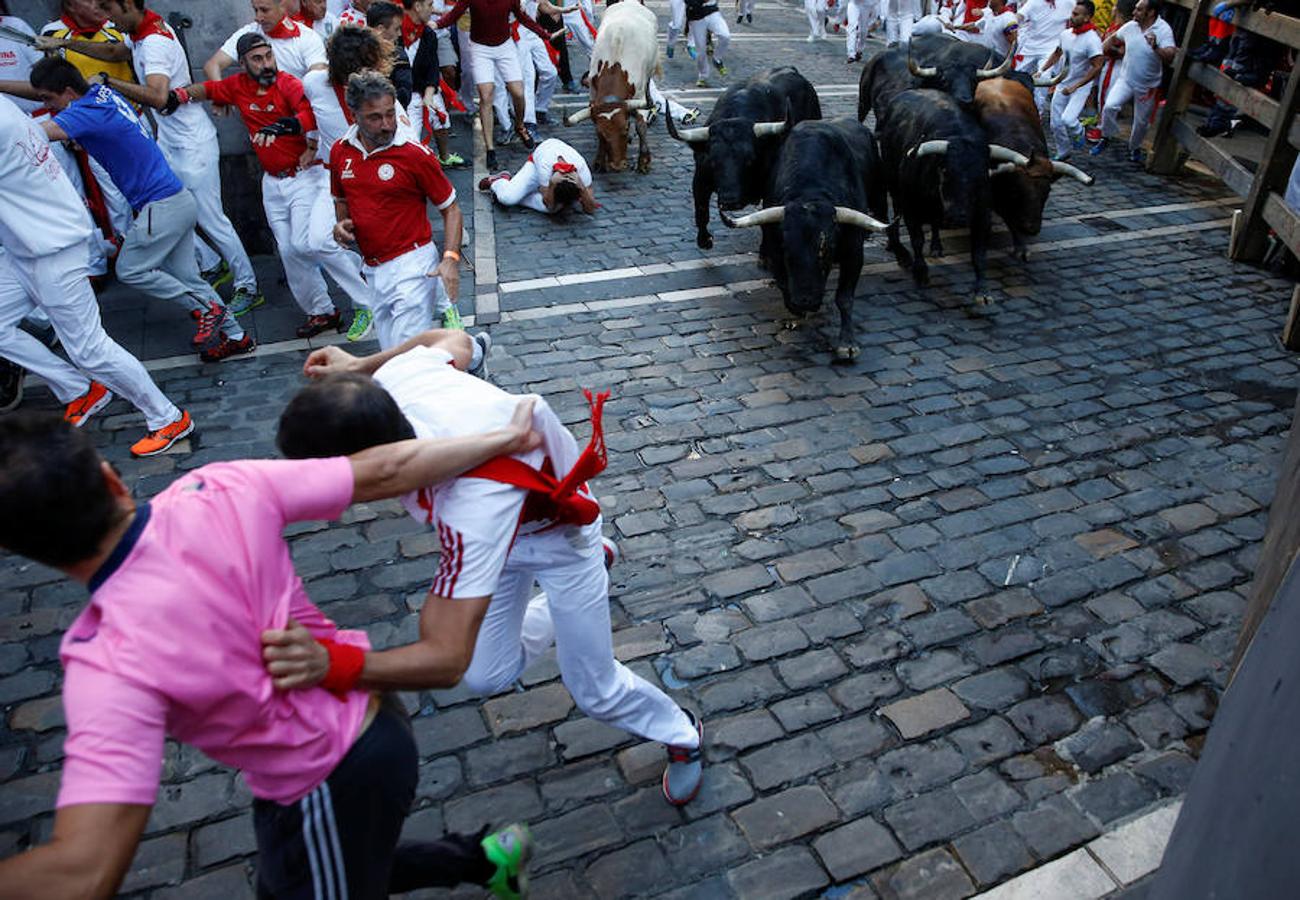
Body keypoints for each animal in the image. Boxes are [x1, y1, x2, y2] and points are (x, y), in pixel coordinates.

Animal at [564, 0, 660, 174]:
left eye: (625, 128)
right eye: (602, 134)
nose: (617, 165)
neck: (615, 64)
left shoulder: (641, 96)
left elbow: (641, 126)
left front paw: (644, 161)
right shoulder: (593, 94)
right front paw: (600, 160)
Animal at [670, 67, 821, 251]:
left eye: (749, 159)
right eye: (713, 161)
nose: (730, 200)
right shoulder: (700, 178)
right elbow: (701, 210)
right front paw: (704, 240)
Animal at [717, 119, 889, 366]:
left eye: (828, 250)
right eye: (787, 250)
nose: (806, 301)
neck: (810, 190)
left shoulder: (854, 252)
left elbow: (845, 298)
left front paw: (847, 344)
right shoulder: (774, 250)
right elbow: (783, 283)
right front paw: (795, 309)